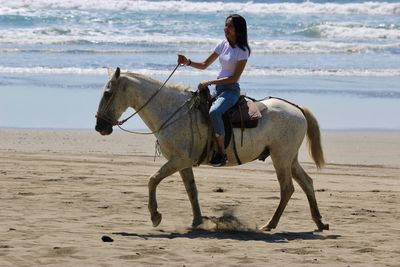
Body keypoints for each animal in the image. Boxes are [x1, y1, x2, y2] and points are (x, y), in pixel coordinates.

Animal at [96, 68, 328, 232]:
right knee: (307, 183)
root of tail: (296, 108)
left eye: (107, 93)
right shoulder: (183, 163)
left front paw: (155, 216)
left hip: (281, 158)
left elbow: (153, 179)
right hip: (290, 158)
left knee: (287, 188)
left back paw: (271, 224)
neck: (172, 112)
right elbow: (192, 191)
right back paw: (318, 222)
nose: (100, 127)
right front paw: (197, 220)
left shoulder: (178, 160)